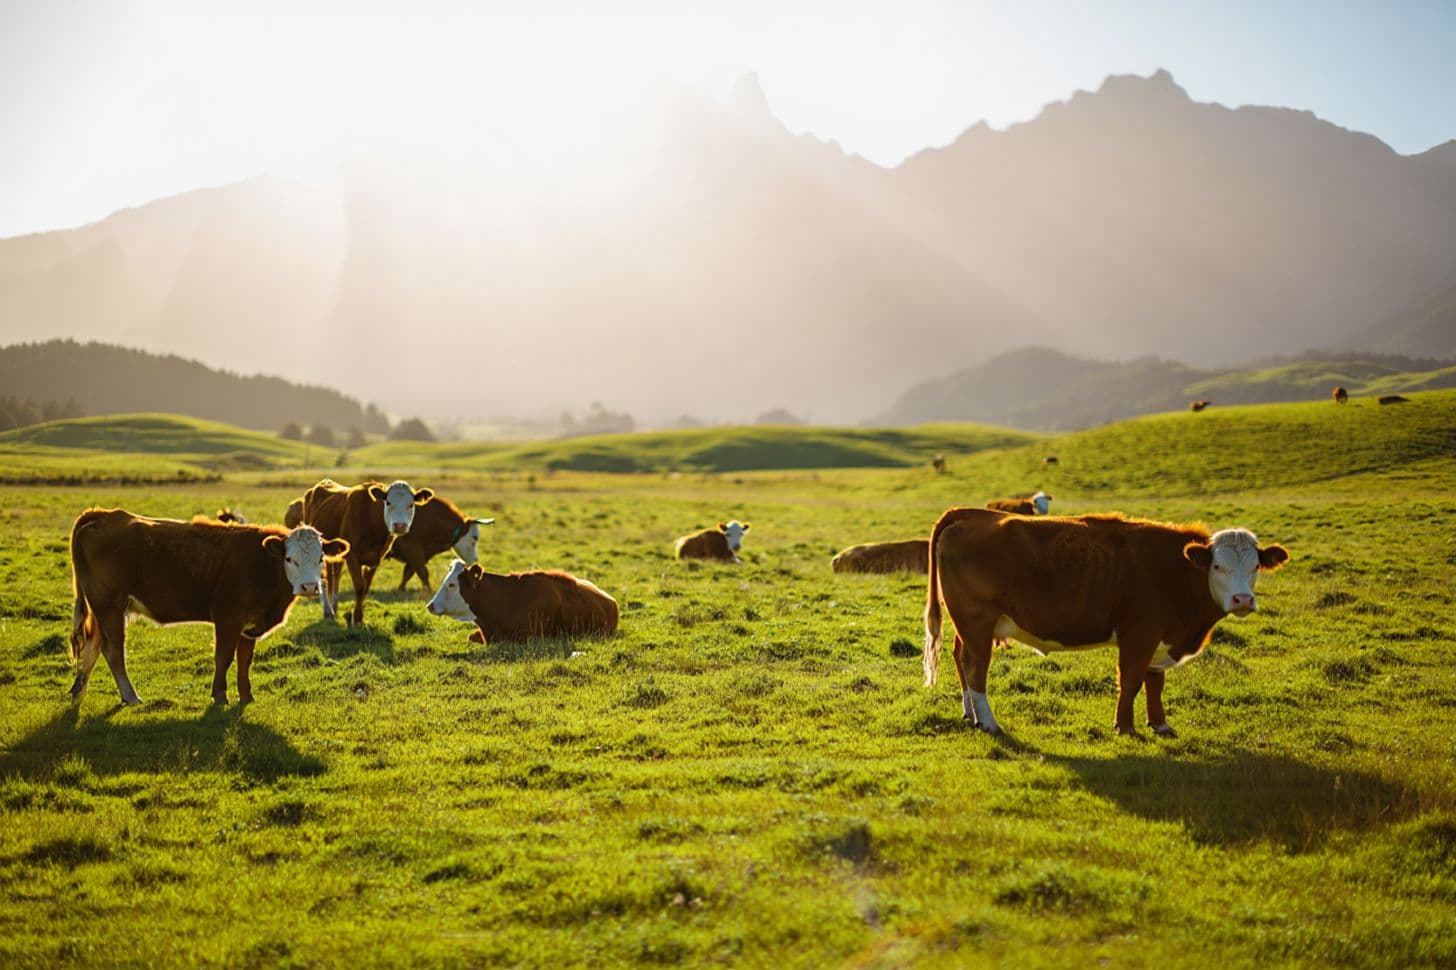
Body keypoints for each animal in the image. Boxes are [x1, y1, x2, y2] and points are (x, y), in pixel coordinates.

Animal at [67, 509, 348, 705]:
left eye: (321, 558)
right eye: (290, 559)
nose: (309, 587)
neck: (263, 564)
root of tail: (101, 514)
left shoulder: (249, 624)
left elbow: (244, 660)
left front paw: (246, 696)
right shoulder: (228, 618)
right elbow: (223, 657)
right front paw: (220, 695)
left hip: (105, 608)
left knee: (93, 645)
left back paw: (78, 690)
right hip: (109, 604)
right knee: (113, 650)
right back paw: (130, 695)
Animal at [300, 478, 433, 626]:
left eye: (411, 505)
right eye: (388, 502)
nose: (400, 526)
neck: (372, 521)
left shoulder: (375, 559)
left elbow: (366, 587)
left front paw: (359, 618)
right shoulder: (352, 555)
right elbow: (359, 587)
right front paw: (356, 618)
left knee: (335, 575)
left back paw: (334, 606)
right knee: (325, 578)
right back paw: (328, 611)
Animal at [922, 507, 1288, 737]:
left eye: (1255, 566)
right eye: (1218, 567)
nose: (1242, 600)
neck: (1177, 571)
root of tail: (970, 514)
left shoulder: (1159, 639)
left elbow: (1154, 682)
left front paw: (1160, 724)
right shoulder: (1139, 634)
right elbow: (1131, 681)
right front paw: (1125, 727)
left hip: (968, 625)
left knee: (960, 658)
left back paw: (970, 713)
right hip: (977, 621)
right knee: (975, 667)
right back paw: (988, 722)